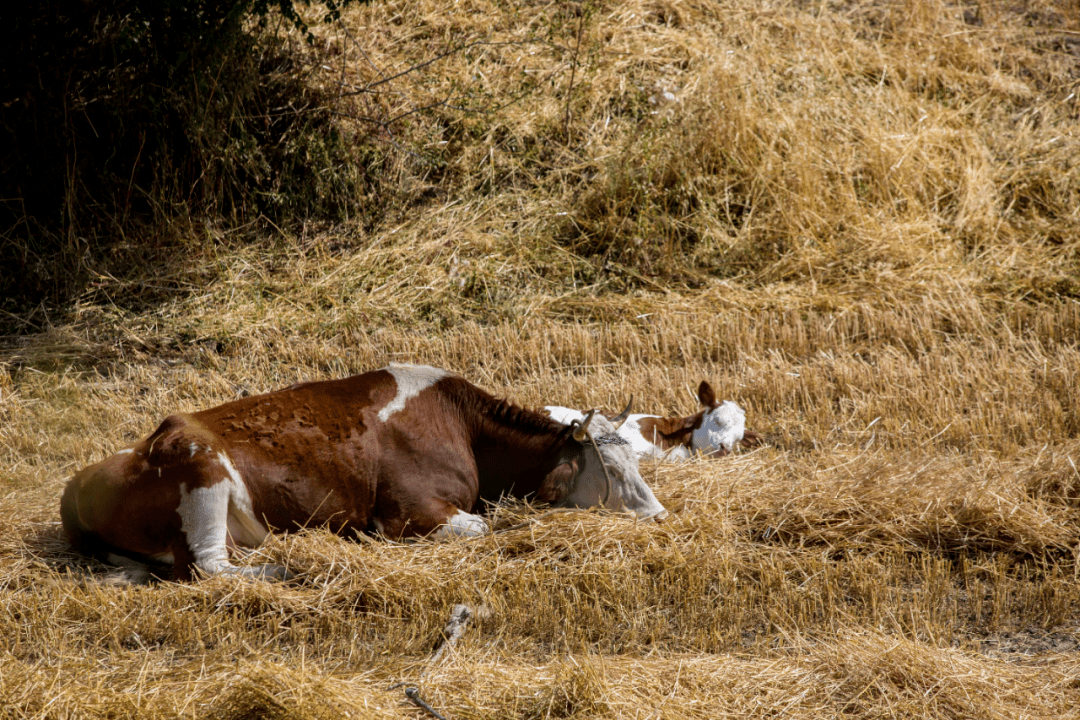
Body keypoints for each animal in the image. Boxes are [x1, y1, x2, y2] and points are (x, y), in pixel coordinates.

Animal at [63, 362, 665, 582]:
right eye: (611, 470)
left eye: (635, 459)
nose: (660, 515)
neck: (463, 426)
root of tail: (78, 484)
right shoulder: (410, 513)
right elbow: (485, 527)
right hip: (200, 470)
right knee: (210, 567)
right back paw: (293, 570)